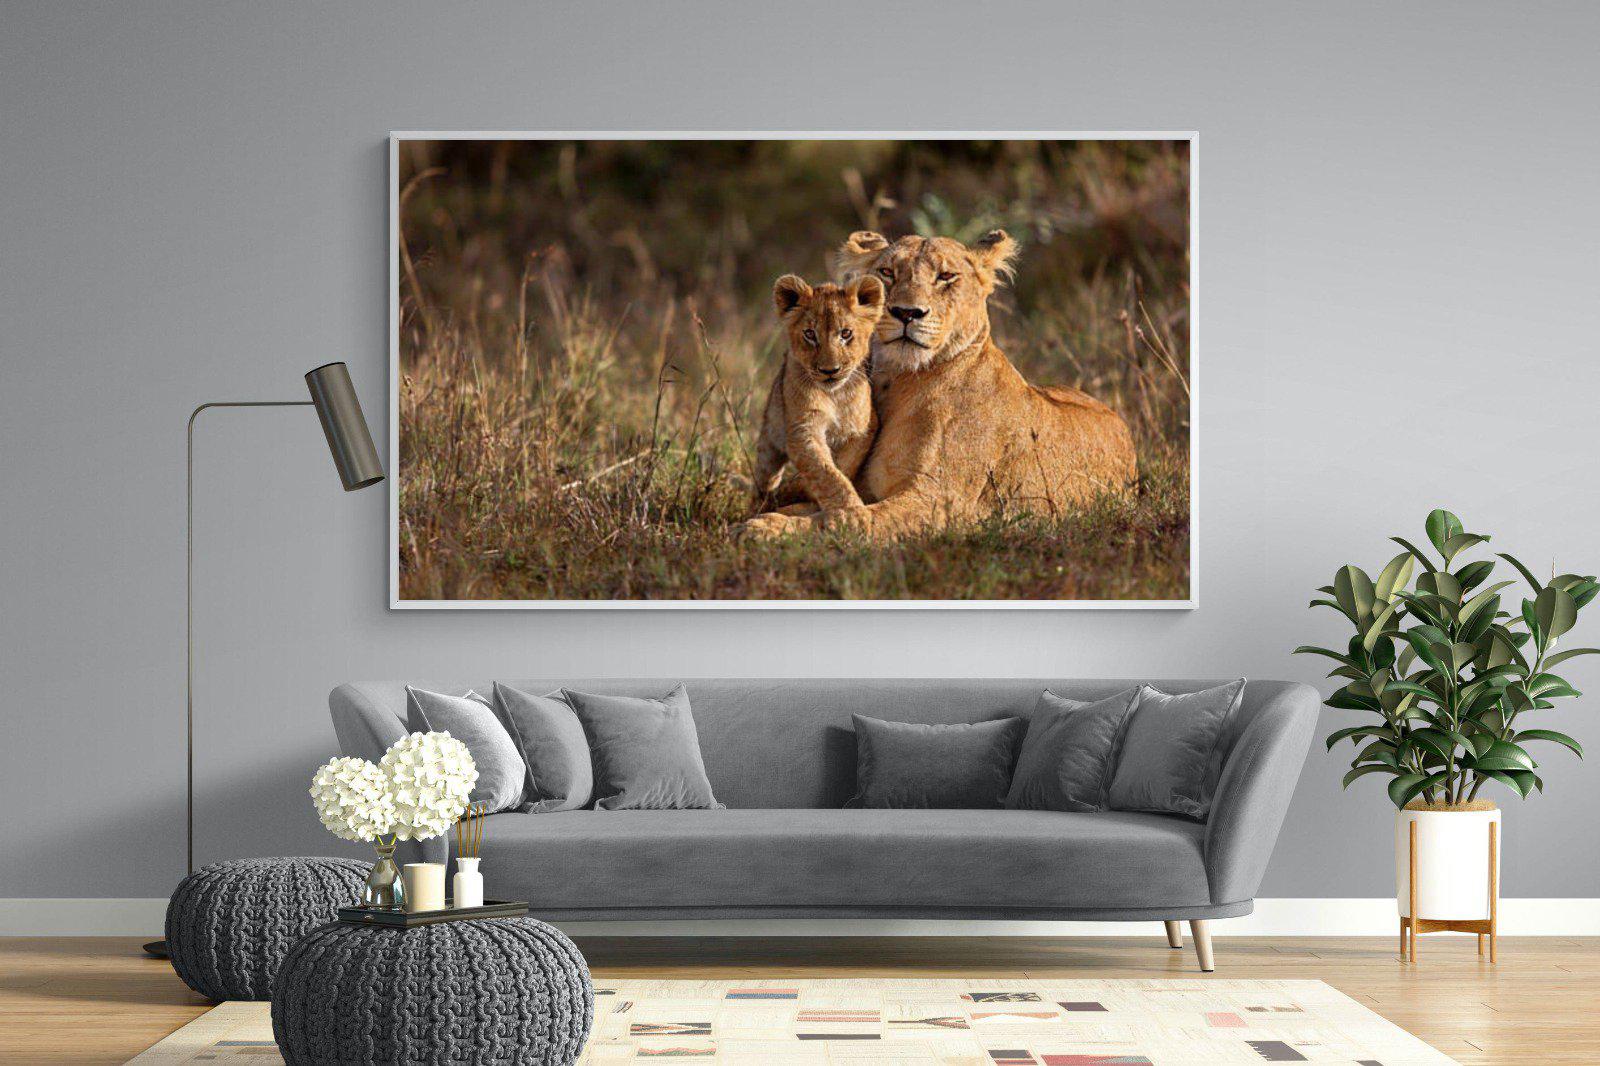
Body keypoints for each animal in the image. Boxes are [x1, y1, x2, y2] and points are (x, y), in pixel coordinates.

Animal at [750, 273, 886, 514]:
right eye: (810, 334)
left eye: (846, 333)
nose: (829, 370)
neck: (835, 396)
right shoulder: (803, 429)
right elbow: (825, 473)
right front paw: (851, 511)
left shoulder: (864, 428)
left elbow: (842, 466)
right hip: (770, 439)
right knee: (763, 479)